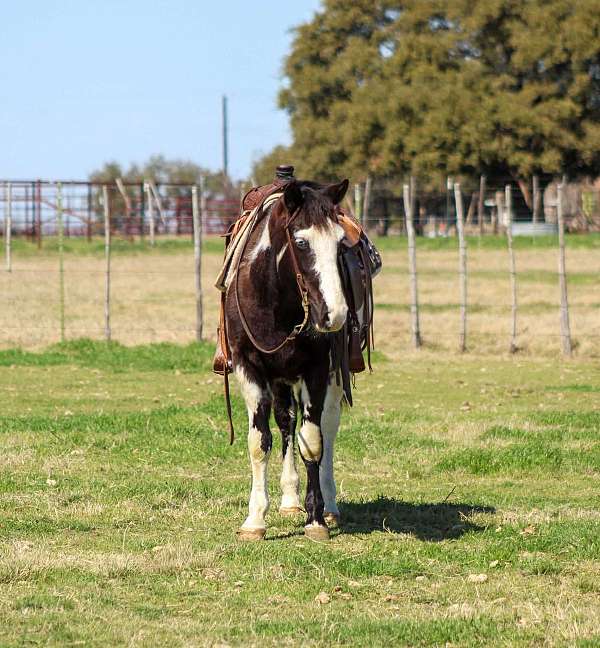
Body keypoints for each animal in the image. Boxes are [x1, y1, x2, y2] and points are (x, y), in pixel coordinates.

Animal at [223, 178, 350, 540]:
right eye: (302, 242)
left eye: (340, 243)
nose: (335, 314)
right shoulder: (249, 368)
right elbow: (259, 441)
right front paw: (255, 519)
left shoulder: (317, 370)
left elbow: (314, 443)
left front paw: (316, 518)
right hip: (279, 379)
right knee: (285, 422)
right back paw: (290, 500)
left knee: (327, 427)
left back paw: (330, 506)